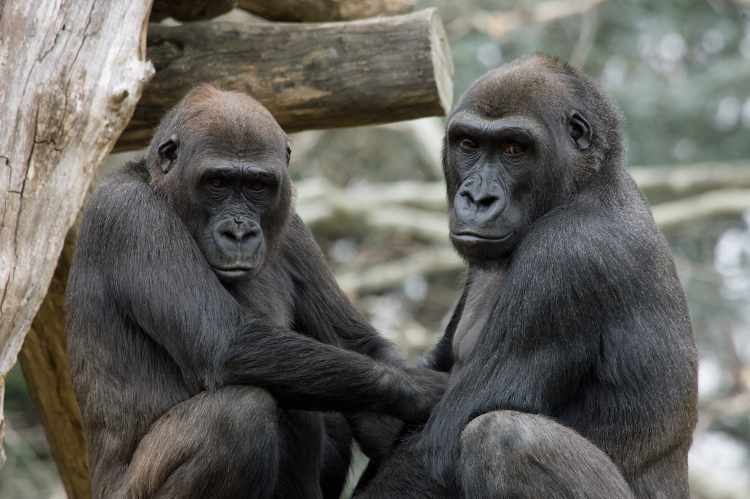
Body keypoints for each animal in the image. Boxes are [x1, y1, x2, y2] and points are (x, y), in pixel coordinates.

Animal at [66, 86, 446, 499]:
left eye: (257, 187)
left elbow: (357, 344)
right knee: (240, 416)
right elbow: (226, 342)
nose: (239, 232)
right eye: (217, 183)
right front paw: (424, 389)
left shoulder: (293, 228)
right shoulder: (130, 215)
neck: (161, 188)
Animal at [356, 52, 704, 498]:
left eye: (513, 148)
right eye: (468, 144)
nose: (478, 198)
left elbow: (442, 448)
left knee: (505, 437)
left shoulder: (566, 258)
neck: (585, 182)